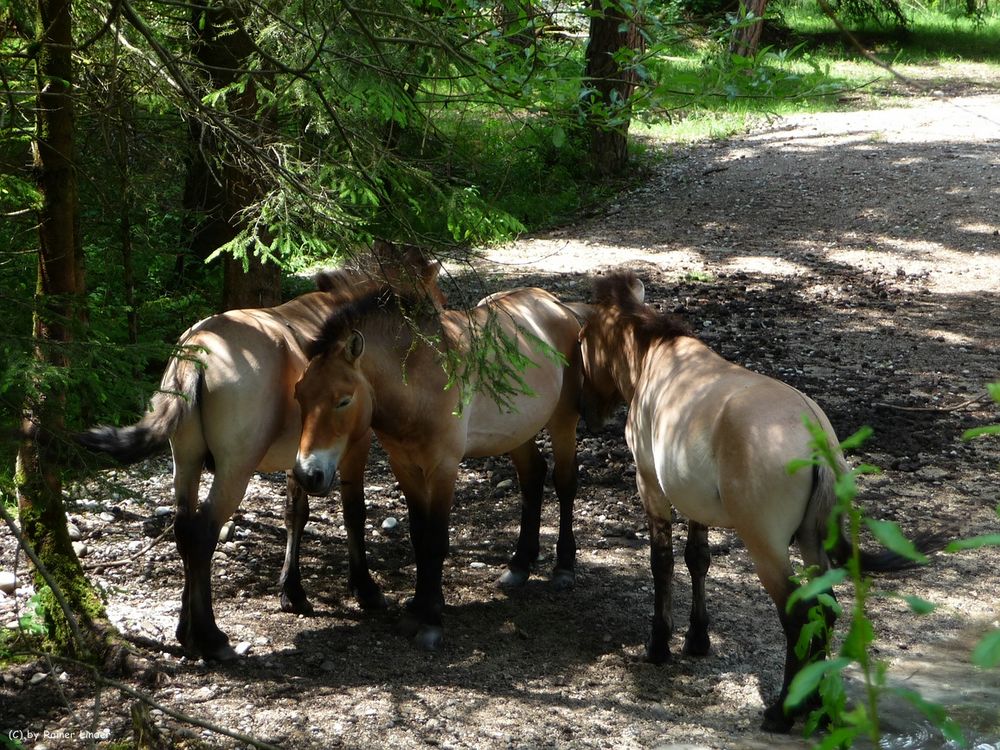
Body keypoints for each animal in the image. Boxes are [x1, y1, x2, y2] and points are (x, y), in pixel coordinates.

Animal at [74, 244, 442, 660]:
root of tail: (197, 352)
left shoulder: (302, 461)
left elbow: (295, 515)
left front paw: (292, 591)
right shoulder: (352, 448)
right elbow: (354, 514)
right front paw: (364, 588)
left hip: (186, 461)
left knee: (184, 530)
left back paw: (187, 631)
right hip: (235, 469)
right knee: (203, 532)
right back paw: (212, 637)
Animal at [292, 284, 584, 648]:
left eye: (343, 400)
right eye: (299, 395)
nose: (307, 473)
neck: (420, 381)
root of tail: (553, 303)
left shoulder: (443, 469)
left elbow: (435, 542)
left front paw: (431, 622)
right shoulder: (405, 468)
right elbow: (419, 538)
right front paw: (417, 610)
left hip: (563, 420)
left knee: (565, 481)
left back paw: (564, 567)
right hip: (517, 431)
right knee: (532, 476)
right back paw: (519, 565)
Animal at [572, 272, 936, 736]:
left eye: (582, 339)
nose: (584, 410)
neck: (657, 358)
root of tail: (816, 439)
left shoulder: (651, 486)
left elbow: (662, 562)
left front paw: (659, 644)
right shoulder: (695, 503)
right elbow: (698, 560)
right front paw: (697, 639)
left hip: (767, 549)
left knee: (800, 613)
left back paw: (782, 712)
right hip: (811, 543)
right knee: (824, 609)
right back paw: (819, 710)